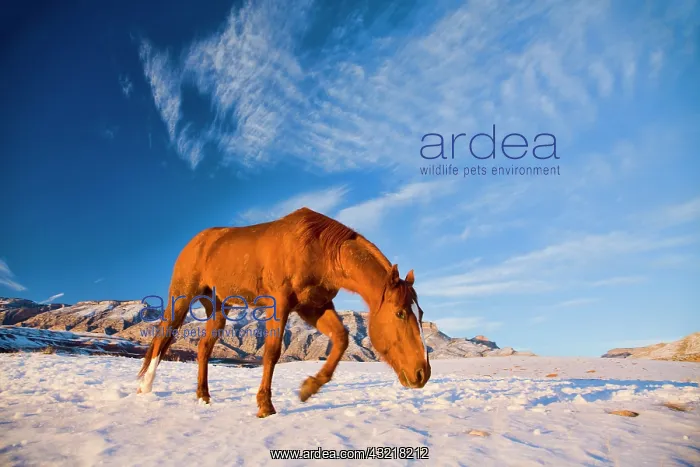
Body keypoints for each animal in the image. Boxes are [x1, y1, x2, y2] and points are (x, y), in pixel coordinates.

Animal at [136, 207, 431, 417]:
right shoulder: (280, 303)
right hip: (182, 296)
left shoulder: (313, 307)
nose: (422, 374)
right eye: (400, 313)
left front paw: (308, 388)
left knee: (204, 347)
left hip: (218, 306)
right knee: (164, 336)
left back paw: (204, 397)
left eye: (420, 314)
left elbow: (342, 338)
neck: (319, 250)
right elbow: (272, 352)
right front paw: (265, 407)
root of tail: (197, 241)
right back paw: (144, 387)